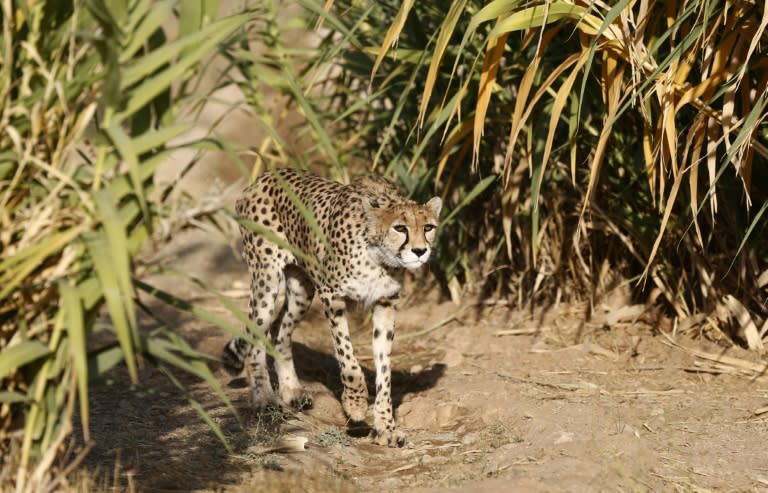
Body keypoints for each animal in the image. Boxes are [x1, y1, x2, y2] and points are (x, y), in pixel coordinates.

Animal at [222, 168, 440, 446]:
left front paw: (385, 427)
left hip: (302, 289)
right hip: (266, 280)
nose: (420, 251)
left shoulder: (385, 305)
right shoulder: (332, 298)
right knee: (256, 336)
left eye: (428, 227)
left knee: (280, 330)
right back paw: (263, 398)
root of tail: (265, 176)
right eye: (399, 228)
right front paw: (355, 404)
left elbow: (384, 370)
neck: (379, 258)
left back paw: (291, 391)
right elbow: (348, 360)